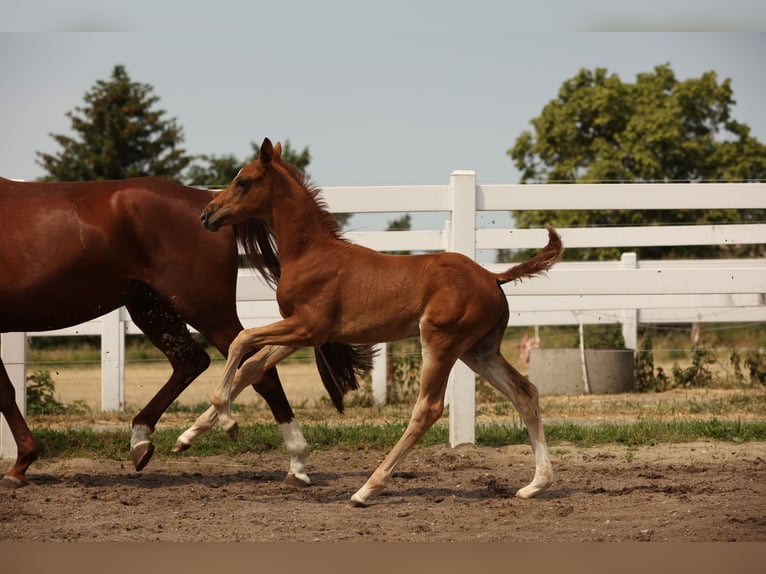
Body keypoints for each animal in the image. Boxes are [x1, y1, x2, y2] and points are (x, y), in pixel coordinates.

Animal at [0, 177, 372, 490]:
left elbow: (5, 392)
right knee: (192, 360)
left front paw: (20, 465)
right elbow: (6, 391)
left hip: (203, 308)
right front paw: (21, 463)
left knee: (254, 368)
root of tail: (209, 200)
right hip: (150, 305)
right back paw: (142, 440)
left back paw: (296, 462)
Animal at [181, 141, 564, 508]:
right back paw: (535, 485)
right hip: (478, 351)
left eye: (243, 181)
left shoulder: (309, 327)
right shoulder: (302, 331)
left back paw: (367, 489)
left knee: (428, 408)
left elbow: (242, 340)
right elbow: (251, 366)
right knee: (524, 392)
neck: (310, 253)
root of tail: (492, 277)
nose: (206, 214)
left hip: (441, 342)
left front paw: (228, 422)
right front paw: (188, 436)